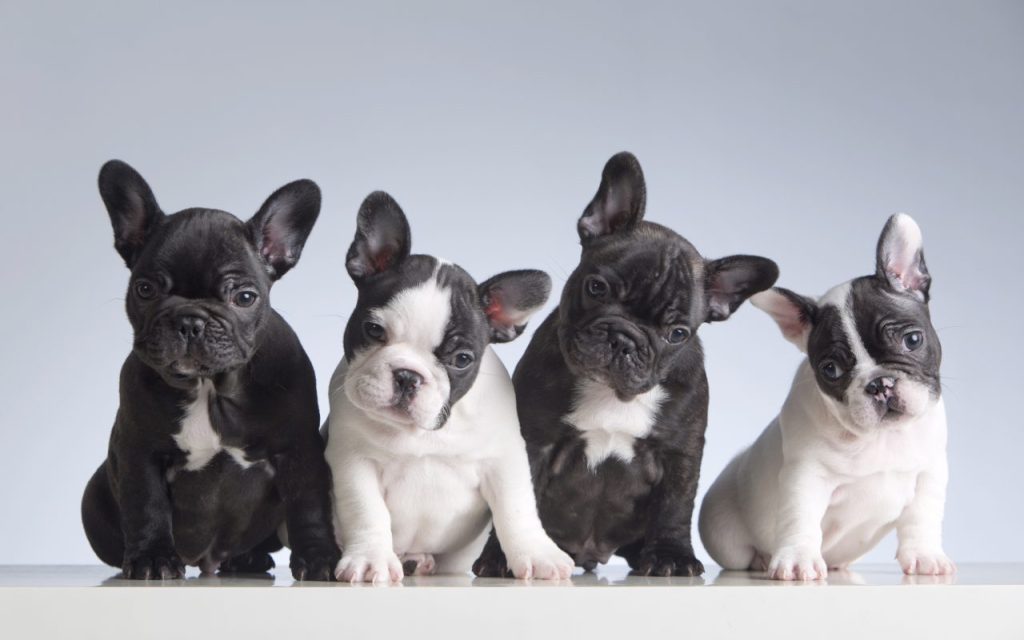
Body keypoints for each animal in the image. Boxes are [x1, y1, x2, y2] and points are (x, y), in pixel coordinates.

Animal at [82, 158, 339, 577]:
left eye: (245, 297)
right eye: (145, 289)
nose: (190, 320)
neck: (209, 386)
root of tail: (206, 562)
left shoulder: (298, 449)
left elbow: (309, 506)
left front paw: (320, 558)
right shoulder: (139, 450)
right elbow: (146, 505)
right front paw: (152, 558)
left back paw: (246, 559)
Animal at [323, 192, 573, 581]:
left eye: (462, 359)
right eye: (374, 330)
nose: (408, 375)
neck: (422, 433)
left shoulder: (505, 460)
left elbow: (517, 509)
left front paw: (537, 553)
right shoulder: (353, 461)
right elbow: (366, 511)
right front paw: (371, 559)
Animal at [471, 152, 774, 577]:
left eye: (677, 333)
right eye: (596, 287)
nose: (624, 339)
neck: (611, 394)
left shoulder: (680, 453)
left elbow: (676, 505)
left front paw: (672, 556)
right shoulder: (534, 441)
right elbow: (516, 503)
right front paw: (503, 557)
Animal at [700, 212, 954, 577]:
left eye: (913, 340)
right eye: (830, 369)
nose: (879, 384)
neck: (881, 437)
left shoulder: (929, 474)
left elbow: (922, 518)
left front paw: (925, 555)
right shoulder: (806, 476)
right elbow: (800, 517)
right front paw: (797, 560)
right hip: (725, 537)